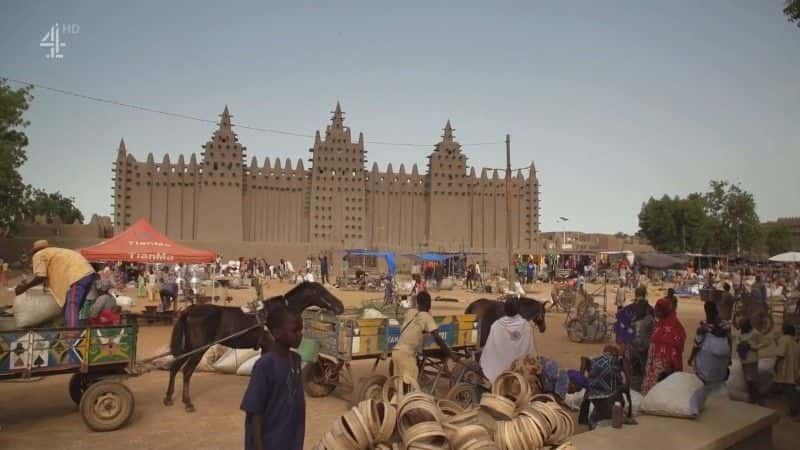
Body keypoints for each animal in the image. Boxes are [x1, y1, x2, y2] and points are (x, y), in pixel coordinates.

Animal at [166, 282, 344, 412]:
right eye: (321, 291)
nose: (340, 306)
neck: (279, 314)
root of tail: (189, 310)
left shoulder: (266, 348)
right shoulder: (272, 346)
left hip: (187, 349)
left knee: (174, 368)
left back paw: (168, 398)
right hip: (198, 350)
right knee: (186, 372)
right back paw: (187, 402)